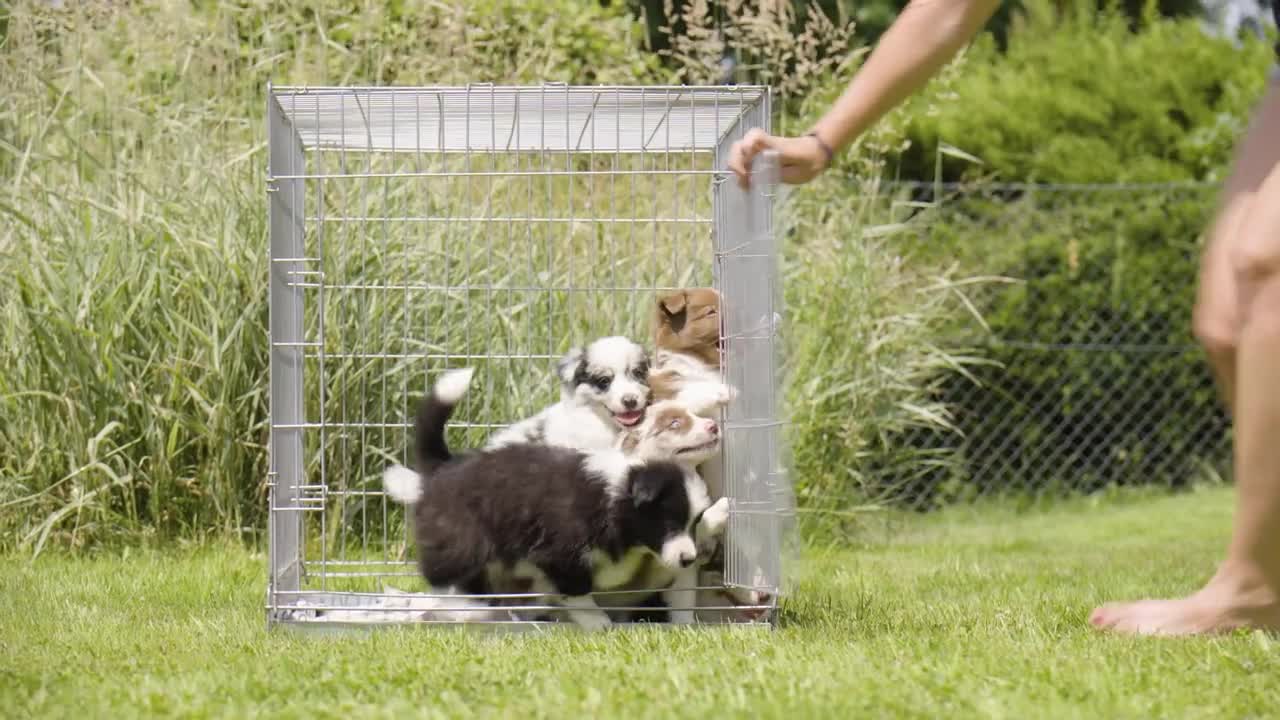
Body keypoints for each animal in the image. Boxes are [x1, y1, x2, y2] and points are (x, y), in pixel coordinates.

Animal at [378, 366, 721, 625]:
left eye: (692, 522)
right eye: (668, 523)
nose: (689, 559)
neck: (615, 490)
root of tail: (444, 466)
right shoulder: (560, 550)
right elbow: (578, 590)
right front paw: (598, 623)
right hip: (461, 540)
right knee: (445, 576)